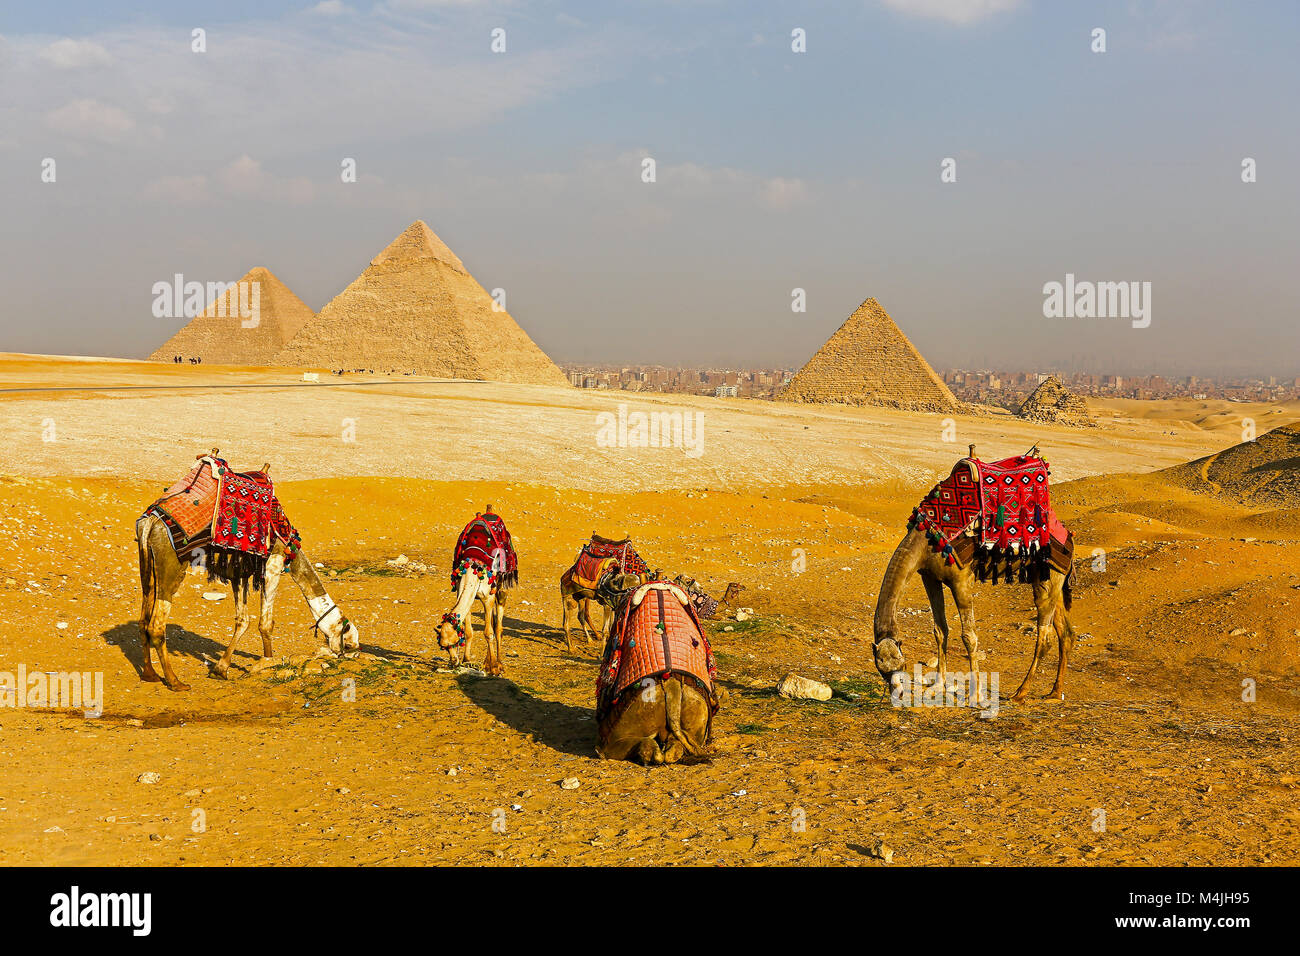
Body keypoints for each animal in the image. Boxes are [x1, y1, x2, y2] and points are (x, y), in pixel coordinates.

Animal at [135, 452, 358, 691]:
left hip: (148, 563)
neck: (290, 544)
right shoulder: (273, 565)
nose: (350, 654)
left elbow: (242, 620)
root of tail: (151, 522)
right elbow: (265, 623)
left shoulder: (238, 571)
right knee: (156, 625)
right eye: (349, 642)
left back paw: (149, 674)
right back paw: (175, 681)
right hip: (172, 565)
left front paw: (220, 669)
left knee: (143, 618)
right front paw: (268, 660)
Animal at [439, 509, 514, 671]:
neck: (471, 570)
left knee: (498, 626)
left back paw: (499, 663)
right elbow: (469, 632)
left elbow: (488, 632)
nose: (453, 662)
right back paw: (487, 662)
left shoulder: (487, 598)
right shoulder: (467, 595)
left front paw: (494, 668)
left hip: (501, 587)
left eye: (455, 643)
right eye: (444, 647)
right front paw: (467, 660)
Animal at [873, 447, 1076, 702]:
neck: (926, 539)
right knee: (1065, 633)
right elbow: (940, 630)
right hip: (1050, 576)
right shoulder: (929, 577)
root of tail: (1068, 538)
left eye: (900, 664)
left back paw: (1020, 693)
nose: (897, 693)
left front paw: (976, 694)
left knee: (1045, 636)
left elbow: (969, 636)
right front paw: (937, 686)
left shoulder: (961, 580)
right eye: (882, 669)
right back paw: (1054, 692)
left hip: (1048, 576)